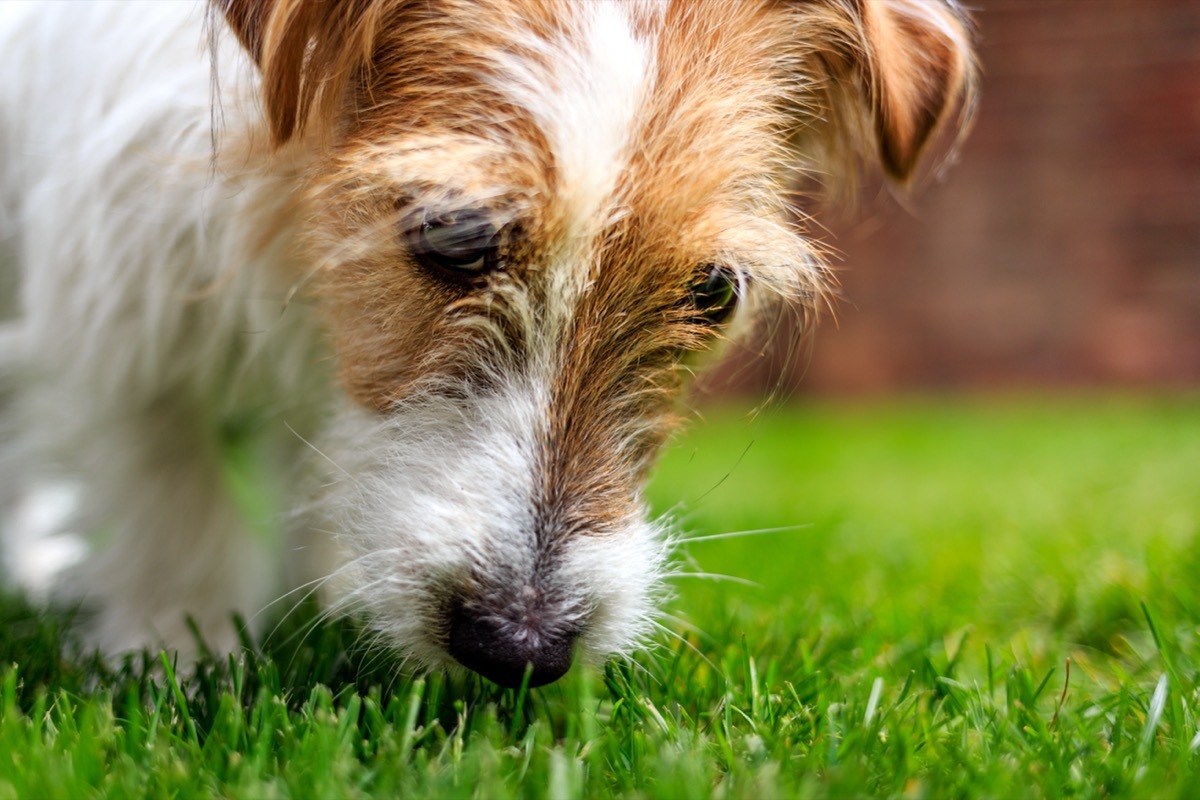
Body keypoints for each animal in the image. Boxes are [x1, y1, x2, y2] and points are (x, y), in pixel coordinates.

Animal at [0, 1, 974, 690]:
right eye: (453, 234)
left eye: (714, 292)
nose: (519, 650)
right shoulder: (129, 325)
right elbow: (174, 505)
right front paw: (176, 656)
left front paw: (338, 604)